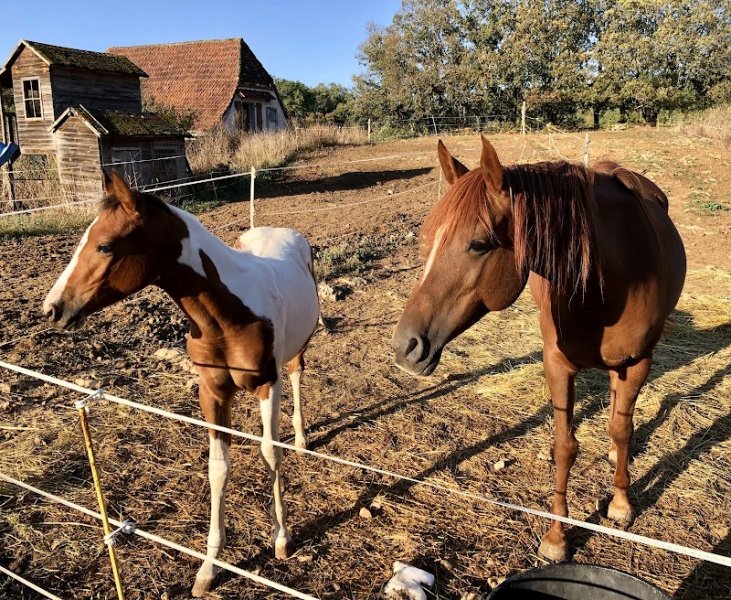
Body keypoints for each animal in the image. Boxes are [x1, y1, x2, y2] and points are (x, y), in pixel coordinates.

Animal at [42, 171, 320, 596]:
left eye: (105, 245)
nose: (52, 309)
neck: (228, 314)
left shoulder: (266, 385)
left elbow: (270, 453)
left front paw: (282, 539)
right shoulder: (212, 393)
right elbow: (218, 468)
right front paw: (208, 569)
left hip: (296, 351)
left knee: (297, 374)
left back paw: (303, 439)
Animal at [393, 137, 685, 561]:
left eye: (479, 244)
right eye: (428, 240)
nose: (404, 347)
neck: (609, 281)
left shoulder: (638, 362)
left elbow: (621, 428)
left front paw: (620, 503)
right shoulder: (557, 363)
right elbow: (565, 446)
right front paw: (556, 537)